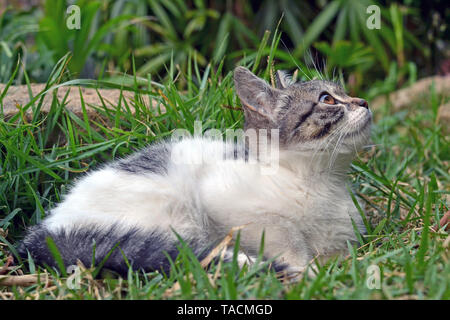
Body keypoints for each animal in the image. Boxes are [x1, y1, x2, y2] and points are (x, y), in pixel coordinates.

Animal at [17, 67, 370, 276]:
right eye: (327, 99)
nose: (364, 102)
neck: (320, 182)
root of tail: (44, 232)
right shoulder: (221, 195)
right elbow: (282, 231)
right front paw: (302, 267)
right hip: (171, 209)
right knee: (187, 251)